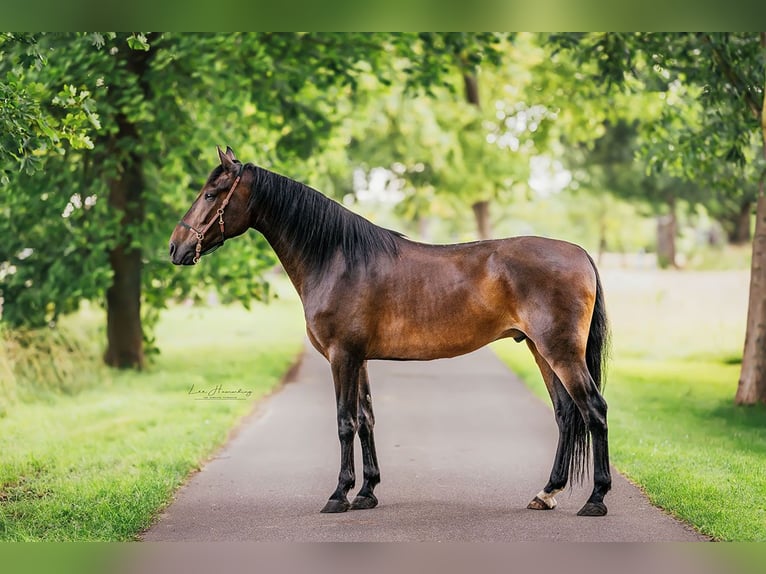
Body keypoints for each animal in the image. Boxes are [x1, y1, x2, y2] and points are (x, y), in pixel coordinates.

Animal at [168, 147, 612, 516]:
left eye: (211, 194)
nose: (175, 248)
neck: (337, 258)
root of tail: (580, 253)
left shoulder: (342, 356)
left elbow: (345, 421)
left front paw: (339, 495)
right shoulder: (359, 358)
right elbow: (366, 418)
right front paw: (367, 492)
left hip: (561, 352)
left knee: (594, 410)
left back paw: (595, 499)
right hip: (541, 350)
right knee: (566, 414)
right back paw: (547, 493)